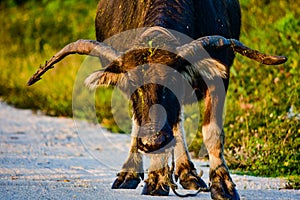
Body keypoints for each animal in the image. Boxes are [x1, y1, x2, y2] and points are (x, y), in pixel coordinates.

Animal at [27, 0, 286, 199]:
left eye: (172, 84)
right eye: (133, 87)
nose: (151, 141)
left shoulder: (218, 78)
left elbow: (211, 132)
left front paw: (223, 185)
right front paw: (155, 180)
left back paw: (188, 174)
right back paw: (131, 174)